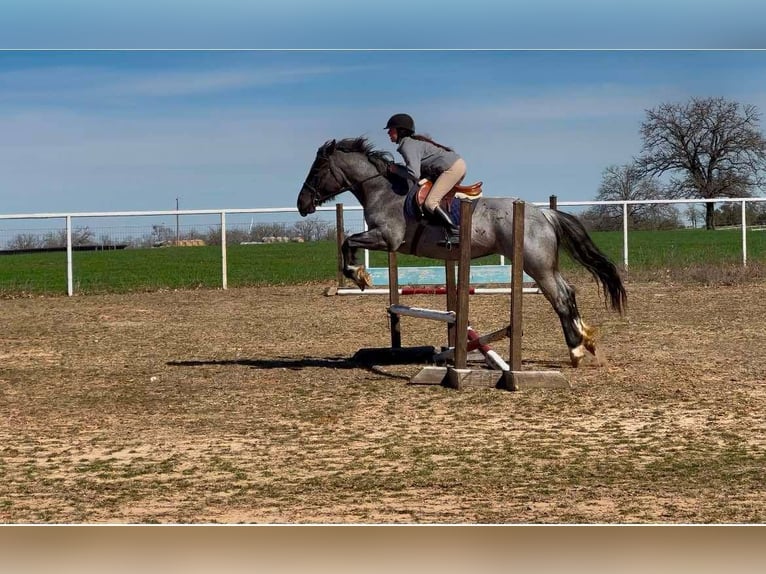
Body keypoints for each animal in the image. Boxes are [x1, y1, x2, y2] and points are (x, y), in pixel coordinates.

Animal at [297, 137, 627, 367]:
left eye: (317, 170)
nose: (302, 204)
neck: (383, 189)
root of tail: (544, 213)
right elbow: (348, 242)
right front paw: (360, 275)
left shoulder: (386, 238)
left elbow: (348, 242)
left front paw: (359, 275)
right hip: (545, 264)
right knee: (568, 292)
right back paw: (586, 341)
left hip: (537, 266)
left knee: (559, 297)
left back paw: (576, 349)